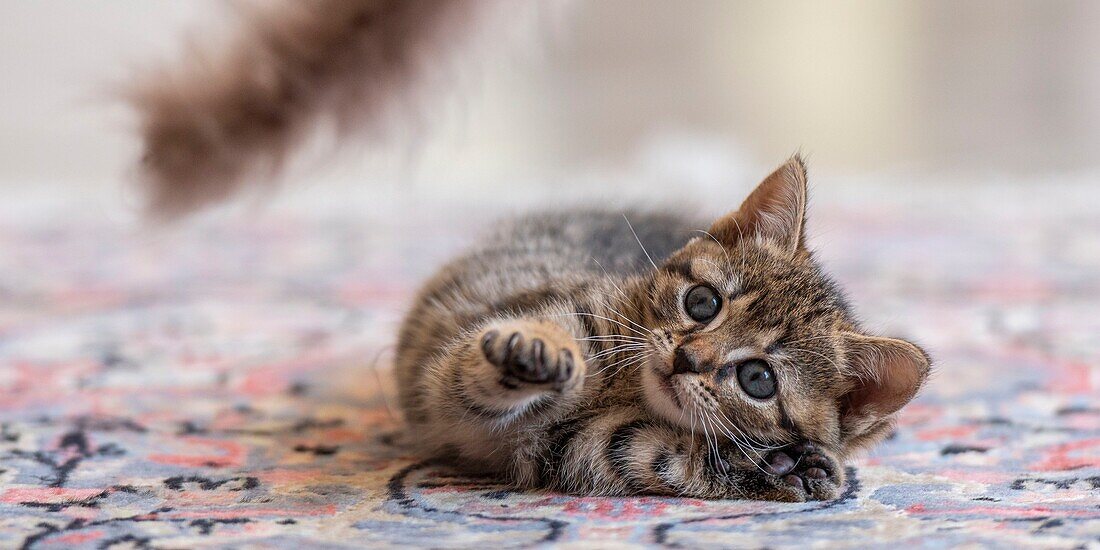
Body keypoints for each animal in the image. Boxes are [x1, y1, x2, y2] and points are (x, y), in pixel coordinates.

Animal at [396, 156, 928, 503]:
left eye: (758, 379)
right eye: (702, 302)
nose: (685, 358)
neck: (625, 389)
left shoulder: (570, 446)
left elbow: (648, 456)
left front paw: (777, 466)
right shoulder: (485, 342)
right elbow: (471, 370)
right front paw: (534, 349)